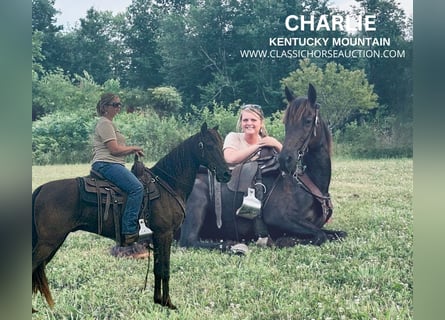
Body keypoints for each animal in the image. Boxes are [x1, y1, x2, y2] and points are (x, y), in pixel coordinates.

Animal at [32, 122, 231, 310]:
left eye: (221, 144)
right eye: (209, 145)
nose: (227, 174)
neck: (168, 184)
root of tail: (41, 189)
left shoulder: (158, 237)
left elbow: (157, 270)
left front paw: (158, 301)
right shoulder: (165, 234)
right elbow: (165, 270)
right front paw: (168, 303)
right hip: (48, 242)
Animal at [180, 84, 346, 251]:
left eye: (308, 120)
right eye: (286, 122)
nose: (285, 159)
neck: (307, 183)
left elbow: (339, 234)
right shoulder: (279, 218)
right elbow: (320, 236)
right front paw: (282, 241)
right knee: (189, 241)